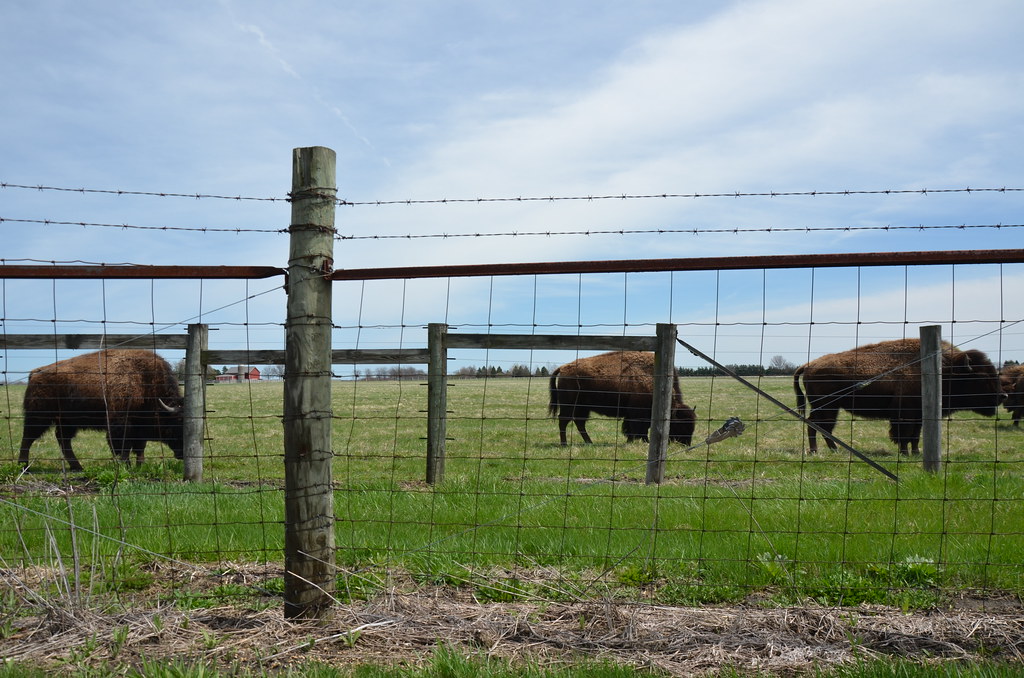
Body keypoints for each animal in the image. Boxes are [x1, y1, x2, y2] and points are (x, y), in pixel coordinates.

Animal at [19, 349, 185, 471]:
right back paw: (23, 466)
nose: (182, 454)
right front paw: (126, 466)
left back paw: (77, 467)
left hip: (67, 421)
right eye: (177, 422)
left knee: (63, 439)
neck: (146, 381)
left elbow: (139, 448)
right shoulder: (121, 424)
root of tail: (35, 373)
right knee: (28, 437)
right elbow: (123, 447)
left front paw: (140, 466)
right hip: (39, 417)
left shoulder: (139, 428)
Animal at [549, 351, 696, 446]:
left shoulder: (633, 414)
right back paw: (564, 444)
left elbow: (632, 429)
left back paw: (589, 442)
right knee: (564, 421)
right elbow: (638, 429)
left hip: (582, 408)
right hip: (569, 406)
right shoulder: (638, 414)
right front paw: (643, 442)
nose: (687, 444)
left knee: (579, 423)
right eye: (681, 424)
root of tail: (563, 368)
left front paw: (632, 441)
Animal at [793, 338, 1003, 455]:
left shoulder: (919, 416)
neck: (947, 369)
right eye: (982, 377)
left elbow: (915, 436)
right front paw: (904, 453)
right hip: (827, 407)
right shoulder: (905, 415)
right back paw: (820, 451)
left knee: (820, 426)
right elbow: (904, 434)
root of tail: (810, 364)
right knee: (817, 426)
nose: (1003, 395)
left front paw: (916, 453)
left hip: (829, 408)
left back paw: (831, 450)